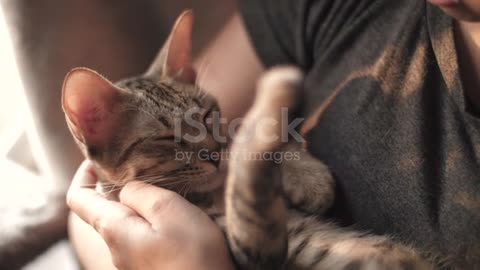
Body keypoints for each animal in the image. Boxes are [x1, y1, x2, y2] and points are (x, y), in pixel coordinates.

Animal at [62, 10, 434, 270]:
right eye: (169, 138)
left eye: (207, 116)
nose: (214, 154)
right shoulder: (254, 247)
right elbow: (247, 178)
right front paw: (274, 97)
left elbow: (245, 152)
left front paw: (305, 174)